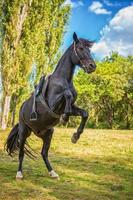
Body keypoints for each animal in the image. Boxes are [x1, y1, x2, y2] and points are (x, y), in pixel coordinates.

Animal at [5, 32, 96, 179]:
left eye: (89, 50)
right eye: (81, 48)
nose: (92, 66)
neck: (63, 81)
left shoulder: (72, 108)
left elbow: (85, 113)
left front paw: (75, 136)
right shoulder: (53, 105)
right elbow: (67, 95)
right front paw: (65, 118)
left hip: (47, 134)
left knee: (44, 153)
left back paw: (52, 172)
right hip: (23, 132)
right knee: (21, 153)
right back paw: (19, 174)